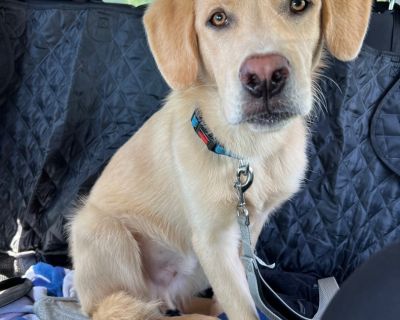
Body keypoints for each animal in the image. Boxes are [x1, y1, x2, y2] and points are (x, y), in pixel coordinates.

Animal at [69, 0, 372, 320]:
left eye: (298, 4)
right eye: (217, 18)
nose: (265, 76)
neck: (247, 152)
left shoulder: (249, 228)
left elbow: (236, 294)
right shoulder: (212, 241)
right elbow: (241, 307)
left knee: (177, 303)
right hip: (100, 230)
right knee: (129, 308)